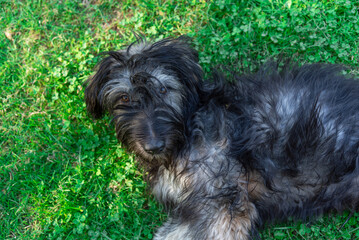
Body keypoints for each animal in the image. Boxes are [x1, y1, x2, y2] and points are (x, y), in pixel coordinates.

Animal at [85, 36, 359, 240]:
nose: (153, 146)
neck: (188, 130)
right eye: (125, 97)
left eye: (163, 89)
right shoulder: (198, 209)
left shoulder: (223, 207)